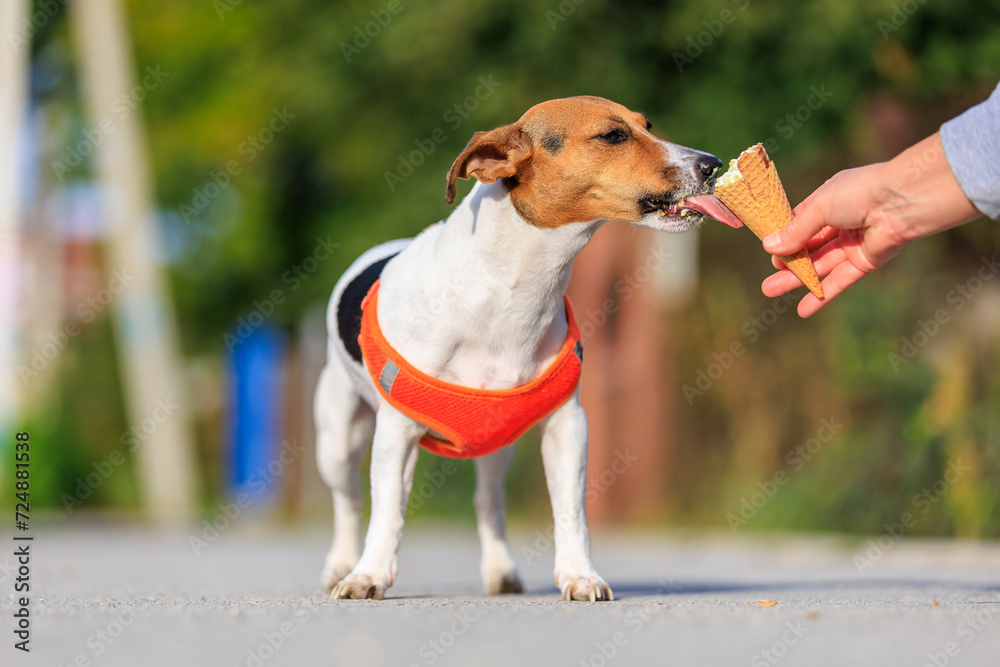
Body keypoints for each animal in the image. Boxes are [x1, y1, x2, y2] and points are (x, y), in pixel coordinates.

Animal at [316, 94, 740, 600]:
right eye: (613, 135)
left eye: (647, 125)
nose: (712, 164)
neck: (507, 291)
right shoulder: (396, 434)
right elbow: (386, 514)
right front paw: (369, 576)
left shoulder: (568, 428)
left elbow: (571, 512)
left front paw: (580, 575)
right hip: (338, 441)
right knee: (348, 501)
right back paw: (341, 565)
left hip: (496, 447)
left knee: (488, 501)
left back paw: (500, 570)